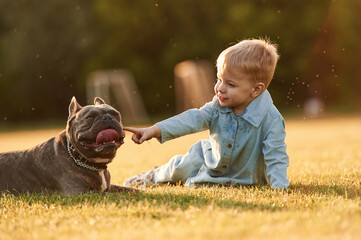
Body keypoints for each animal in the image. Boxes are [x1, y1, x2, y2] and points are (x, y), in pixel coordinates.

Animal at [0, 96, 137, 194]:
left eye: (116, 114)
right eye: (90, 117)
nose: (107, 117)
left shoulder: (110, 187)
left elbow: (129, 190)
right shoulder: (82, 192)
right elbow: (113, 195)